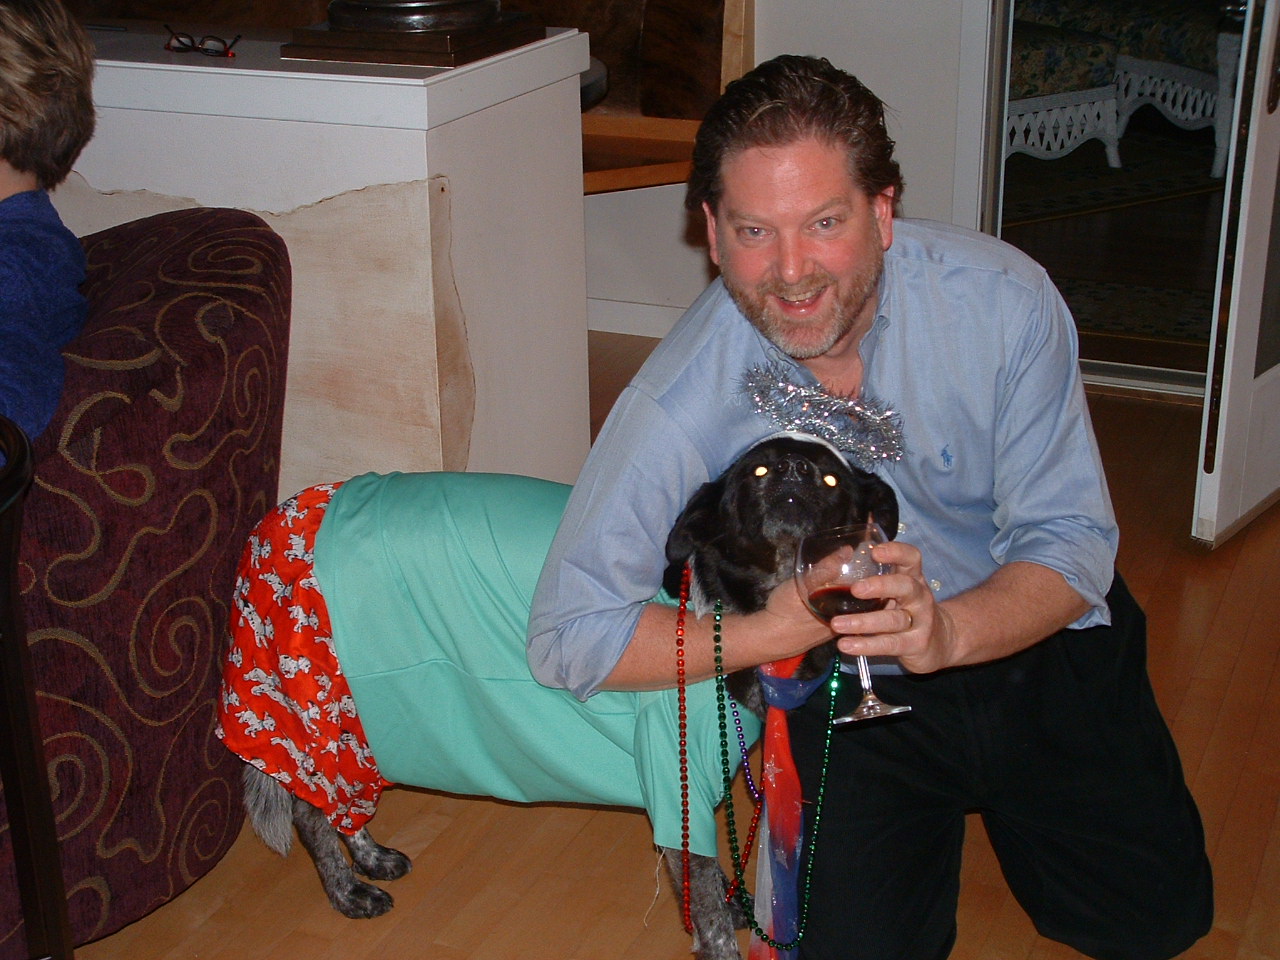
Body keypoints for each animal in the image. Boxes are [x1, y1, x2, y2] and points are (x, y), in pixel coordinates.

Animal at [227, 434, 896, 960]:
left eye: (833, 477)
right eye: (757, 472)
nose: (794, 473)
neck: (729, 604)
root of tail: (273, 524)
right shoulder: (674, 776)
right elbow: (707, 910)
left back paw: (368, 856)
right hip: (327, 706)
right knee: (312, 810)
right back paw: (347, 888)